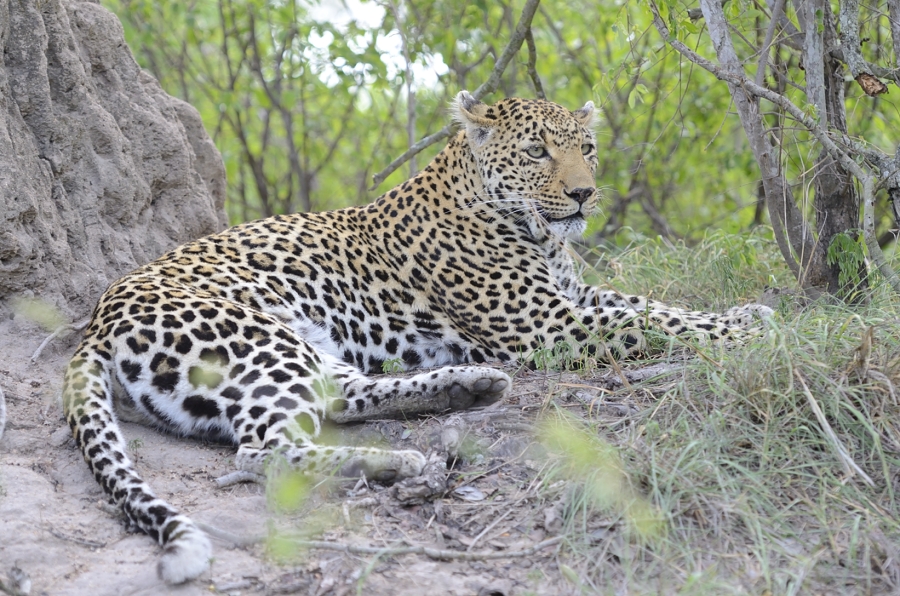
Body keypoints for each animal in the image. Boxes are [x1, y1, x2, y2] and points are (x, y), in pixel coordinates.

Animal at [62, 91, 771, 584]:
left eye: (586, 149)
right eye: (537, 152)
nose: (584, 193)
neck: (536, 235)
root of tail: (96, 321)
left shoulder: (575, 298)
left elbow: (651, 304)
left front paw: (750, 313)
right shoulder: (549, 323)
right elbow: (652, 324)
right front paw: (749, 332)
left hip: (301, 347)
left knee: (341, 398)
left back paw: (468, 388)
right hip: (259, 338)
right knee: (266, 450)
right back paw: (400, 462)